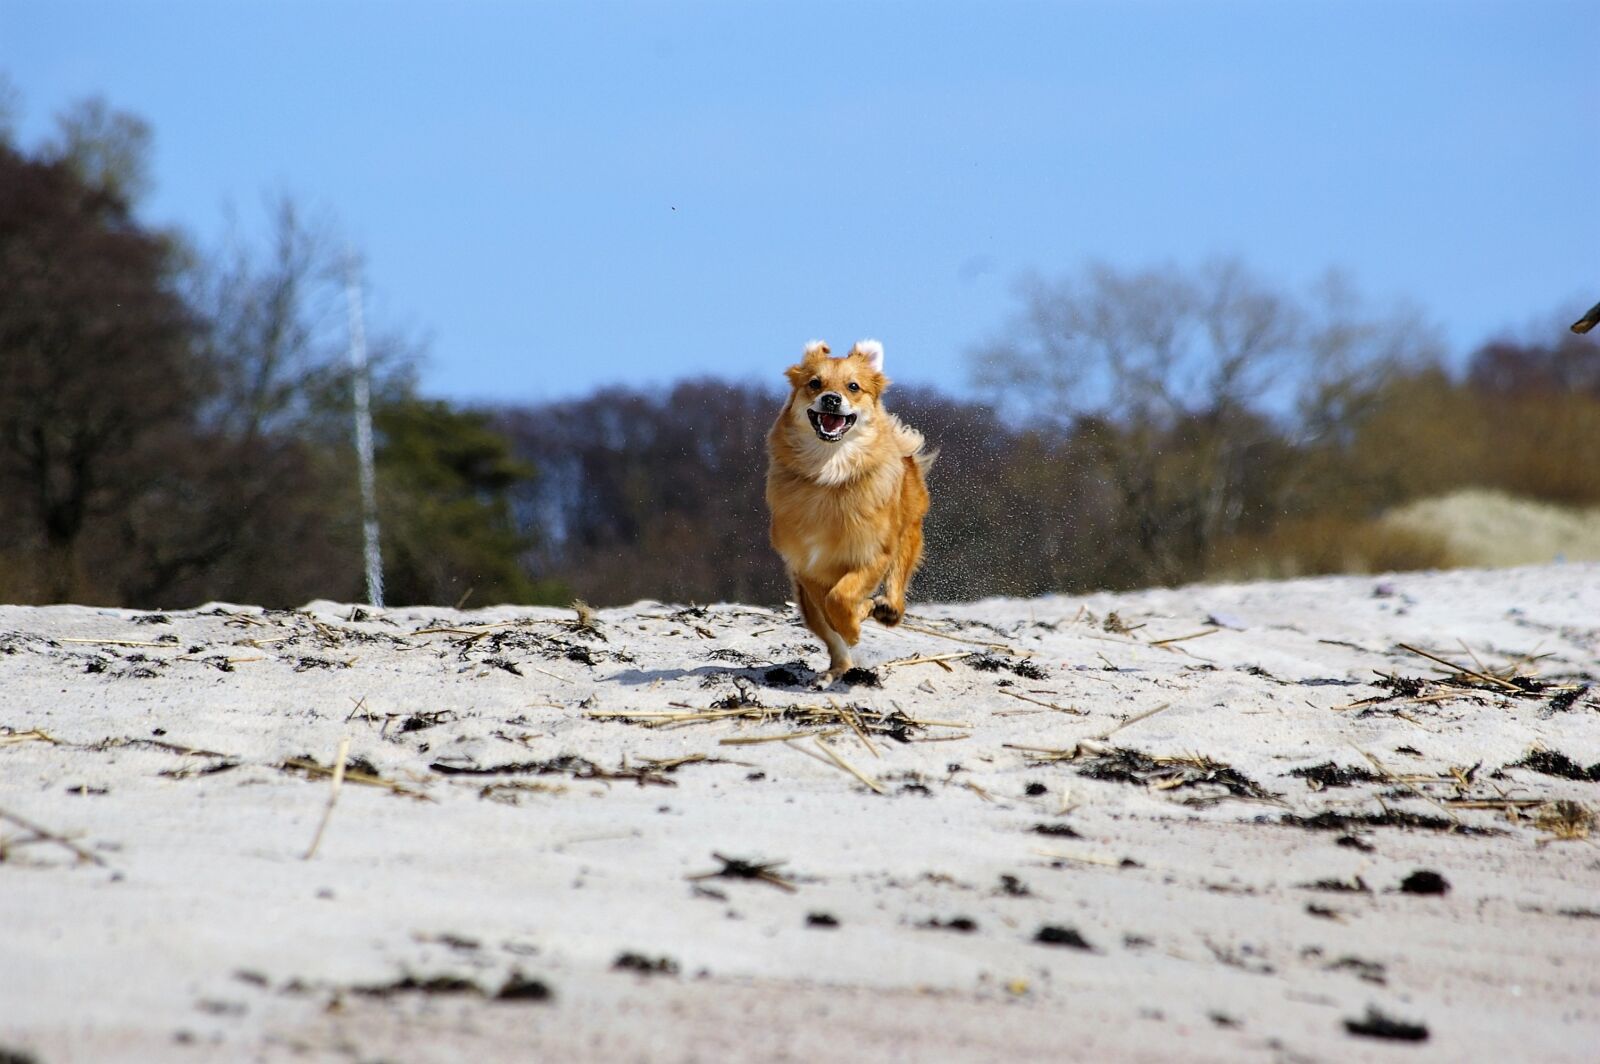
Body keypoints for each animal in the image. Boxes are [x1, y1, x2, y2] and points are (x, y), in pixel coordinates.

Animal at [764, 342, 934, 688]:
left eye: (853, 386)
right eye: (815, 383)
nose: (831, 398)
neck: (831, 469)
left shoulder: (873, 553)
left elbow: (841, 598)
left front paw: (858, 620)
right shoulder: (807, 565)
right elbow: (831, 606)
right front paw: (854, 621)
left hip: (907, 533)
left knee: (897, 583)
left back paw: (886, 610)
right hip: (806, 604)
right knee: (830, 637)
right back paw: (836, 670)